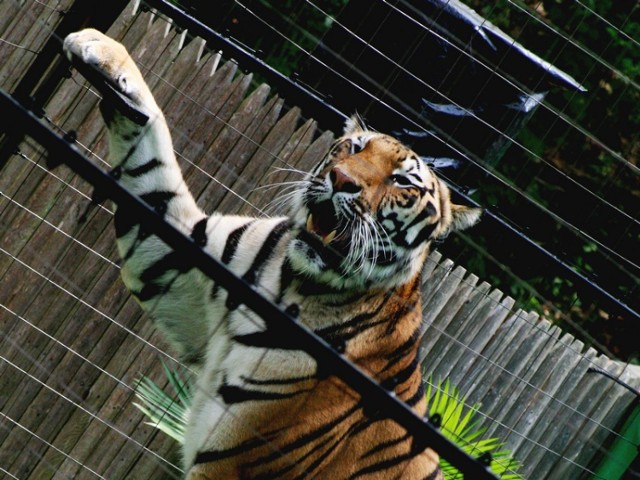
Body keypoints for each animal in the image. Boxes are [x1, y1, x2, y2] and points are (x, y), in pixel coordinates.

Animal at [63, 28, 480, 478]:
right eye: (354, 148)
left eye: (402, 181)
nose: (341, 179)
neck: (289, 281)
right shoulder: (178, 264)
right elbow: (152, 151)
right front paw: (98, 47)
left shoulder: (231, 462)